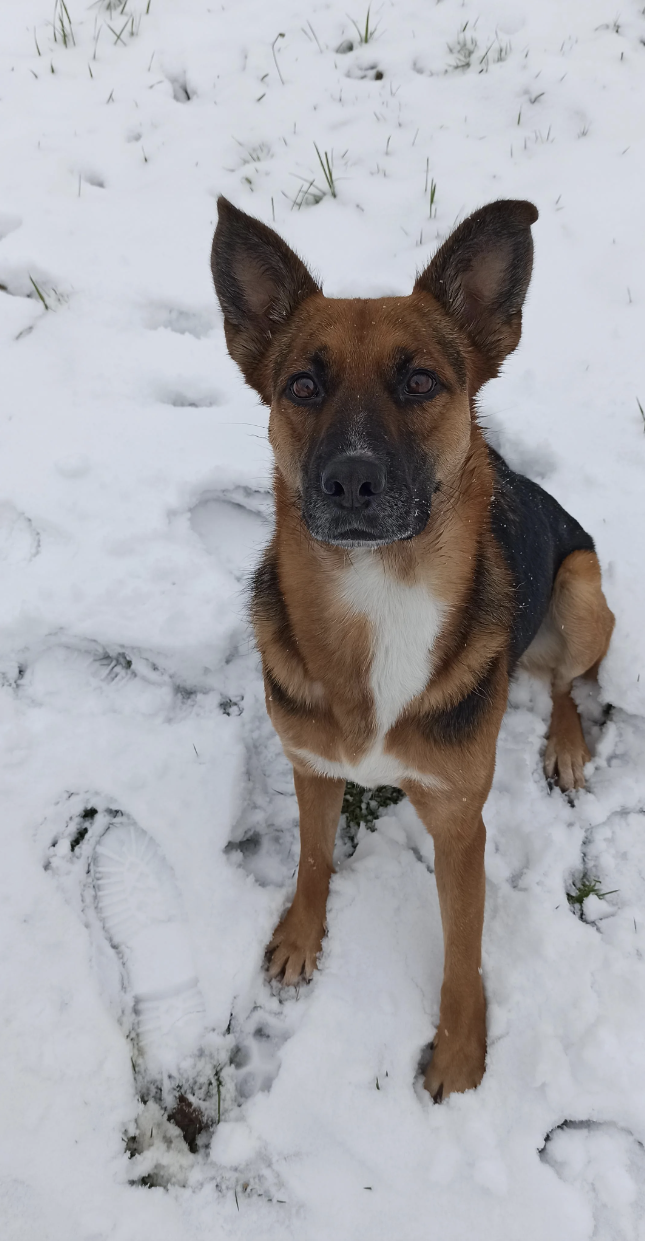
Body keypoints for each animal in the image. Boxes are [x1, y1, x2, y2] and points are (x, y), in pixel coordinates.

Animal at [210, 198, 615, 1102]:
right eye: (302, 385)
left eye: (421, 381)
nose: (352, 482)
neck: (381, 593)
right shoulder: (311, 767)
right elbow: (313, 856)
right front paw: (300, 937)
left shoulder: (460, 822)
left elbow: (463, 949)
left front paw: (460, 1053)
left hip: (583, 591)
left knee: (566, 682)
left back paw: (566, 744)